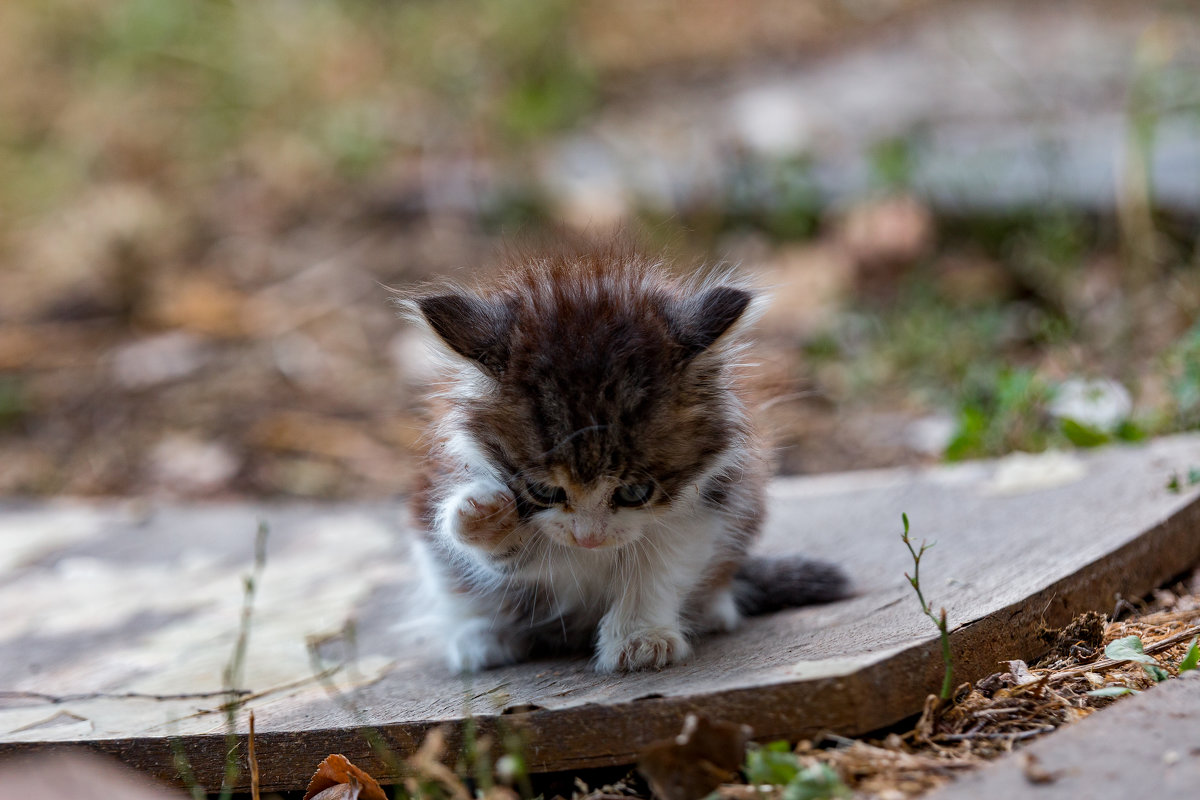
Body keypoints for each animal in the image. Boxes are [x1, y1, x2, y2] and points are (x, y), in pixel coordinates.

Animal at [408, 241, 849, 671]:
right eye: (543, 491)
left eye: (634, 493)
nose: (589, 539)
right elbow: (512, 559)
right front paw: (486, 518)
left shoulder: (711, 504)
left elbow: (658, 567)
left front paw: (640, 637)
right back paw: (484, 638)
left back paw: (711, 610)